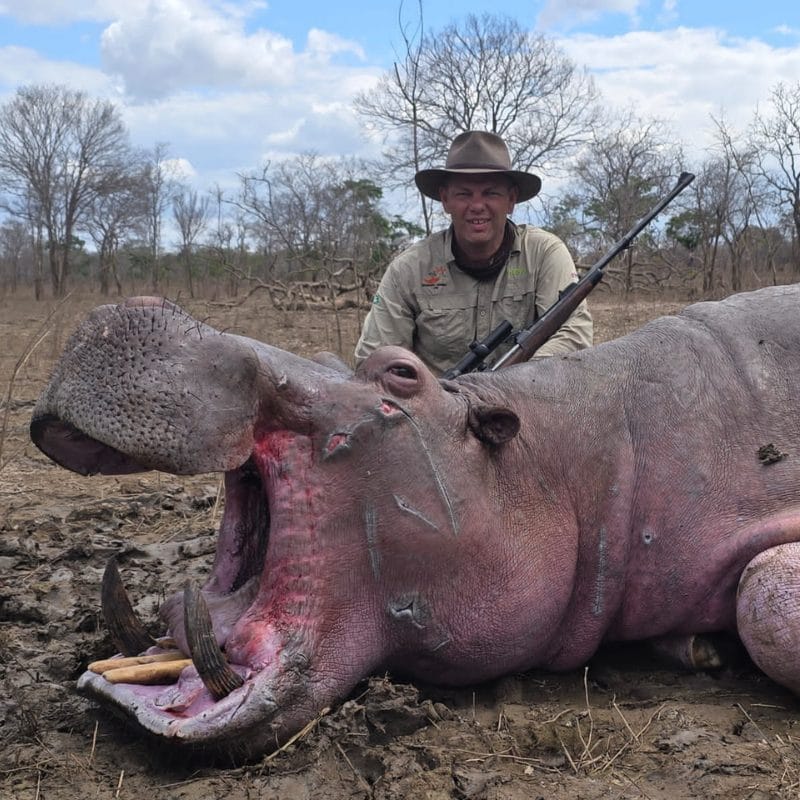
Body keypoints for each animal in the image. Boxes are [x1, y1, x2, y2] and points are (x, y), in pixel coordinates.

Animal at [29, 285, 800, 760]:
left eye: (401, 372)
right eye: (334, 355)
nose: (133, 309)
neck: (574, 452)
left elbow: (765, 598)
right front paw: (698, 647)